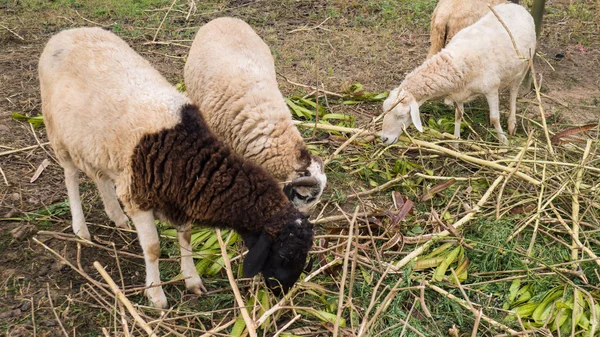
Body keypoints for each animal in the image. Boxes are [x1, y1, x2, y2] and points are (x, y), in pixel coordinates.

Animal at [38, 27, 314, 308]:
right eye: (284, 254)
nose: (283, 291)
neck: (187, 156)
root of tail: (67, 33)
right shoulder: (138, 197)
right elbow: (153, 248)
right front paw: (156, 295)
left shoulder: (178, 199)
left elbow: (187, 237)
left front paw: (192, 280)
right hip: (57, 132)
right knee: (71, 176)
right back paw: (80, 228)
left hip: (95, 145)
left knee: (100, 177)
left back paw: (117, 217)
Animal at [382, 3, 536, 146]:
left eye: (401, 115)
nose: (384, 139)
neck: (455, 63)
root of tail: (517, 6)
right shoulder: (459, 93)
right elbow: (458, 115)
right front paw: (456, 141)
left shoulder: (491, 88)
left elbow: (495, 118)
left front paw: (504, 142)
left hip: (524, 65)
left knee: (514, 92)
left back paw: (512, 122)